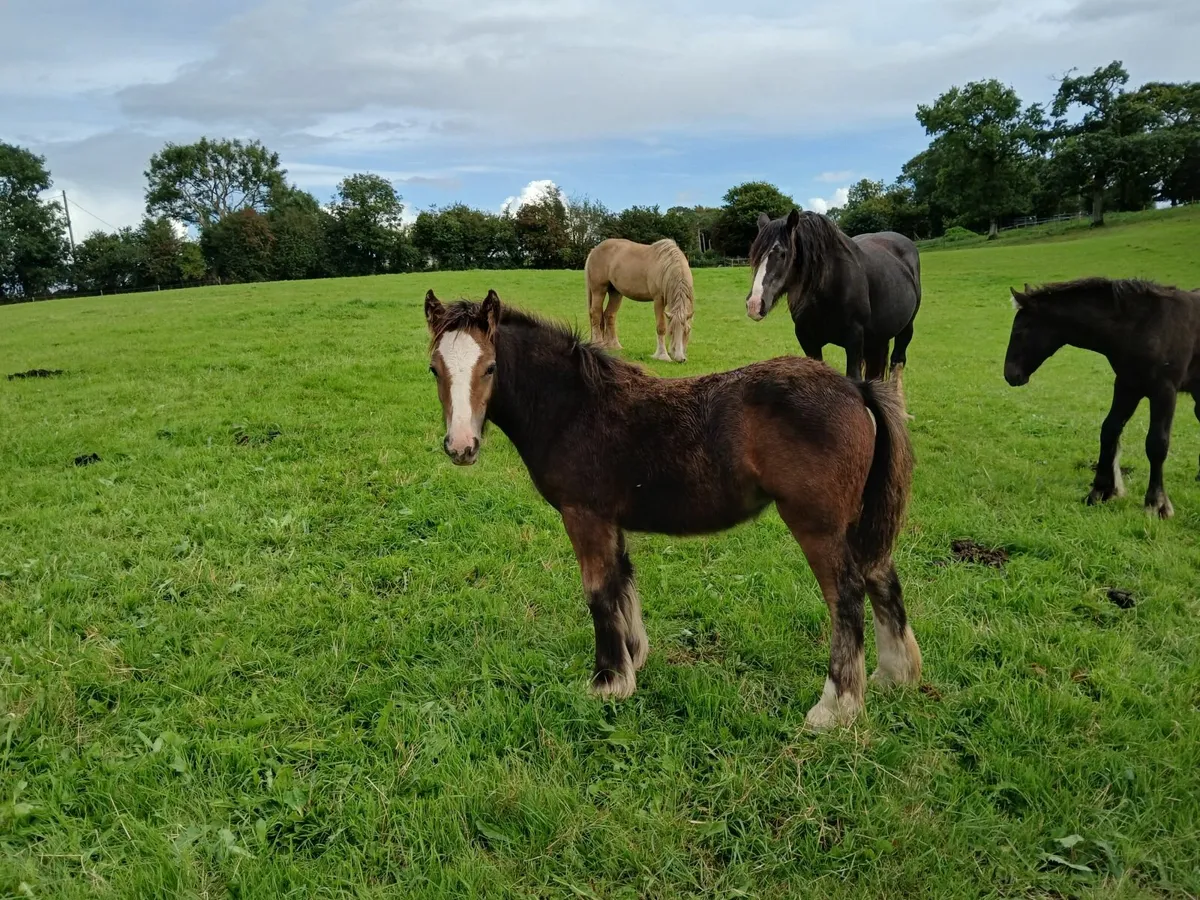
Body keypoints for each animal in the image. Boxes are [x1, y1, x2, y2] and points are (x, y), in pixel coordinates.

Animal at [424, 288, 920, 730]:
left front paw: (607, 681)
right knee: (881, 577)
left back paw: (835, 707)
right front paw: (632, 659)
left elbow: (598, 591)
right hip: (855, 521)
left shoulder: (584, 516)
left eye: (490, 367)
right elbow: (623, 581)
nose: (461, 447)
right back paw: (894, 675)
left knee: (846, 597)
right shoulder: (611, 520)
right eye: (434, 369)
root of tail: (856, 387)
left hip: (817, 525)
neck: (574, 406)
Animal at [746, 210, 921, 387]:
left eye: (782, 254)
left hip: (906, 329)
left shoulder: (854, 339)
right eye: (755, 255)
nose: (754, 304)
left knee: (897, 364)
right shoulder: (807, 339)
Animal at [1005, 277, 1200, 520]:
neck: (1144, 325)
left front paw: (1157, 504)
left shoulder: (1164, 390)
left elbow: (1157, 443)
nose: (1010, 374)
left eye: (1021, 329)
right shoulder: (1127, 385)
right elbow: (1109, 431)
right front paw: (1101, 491)